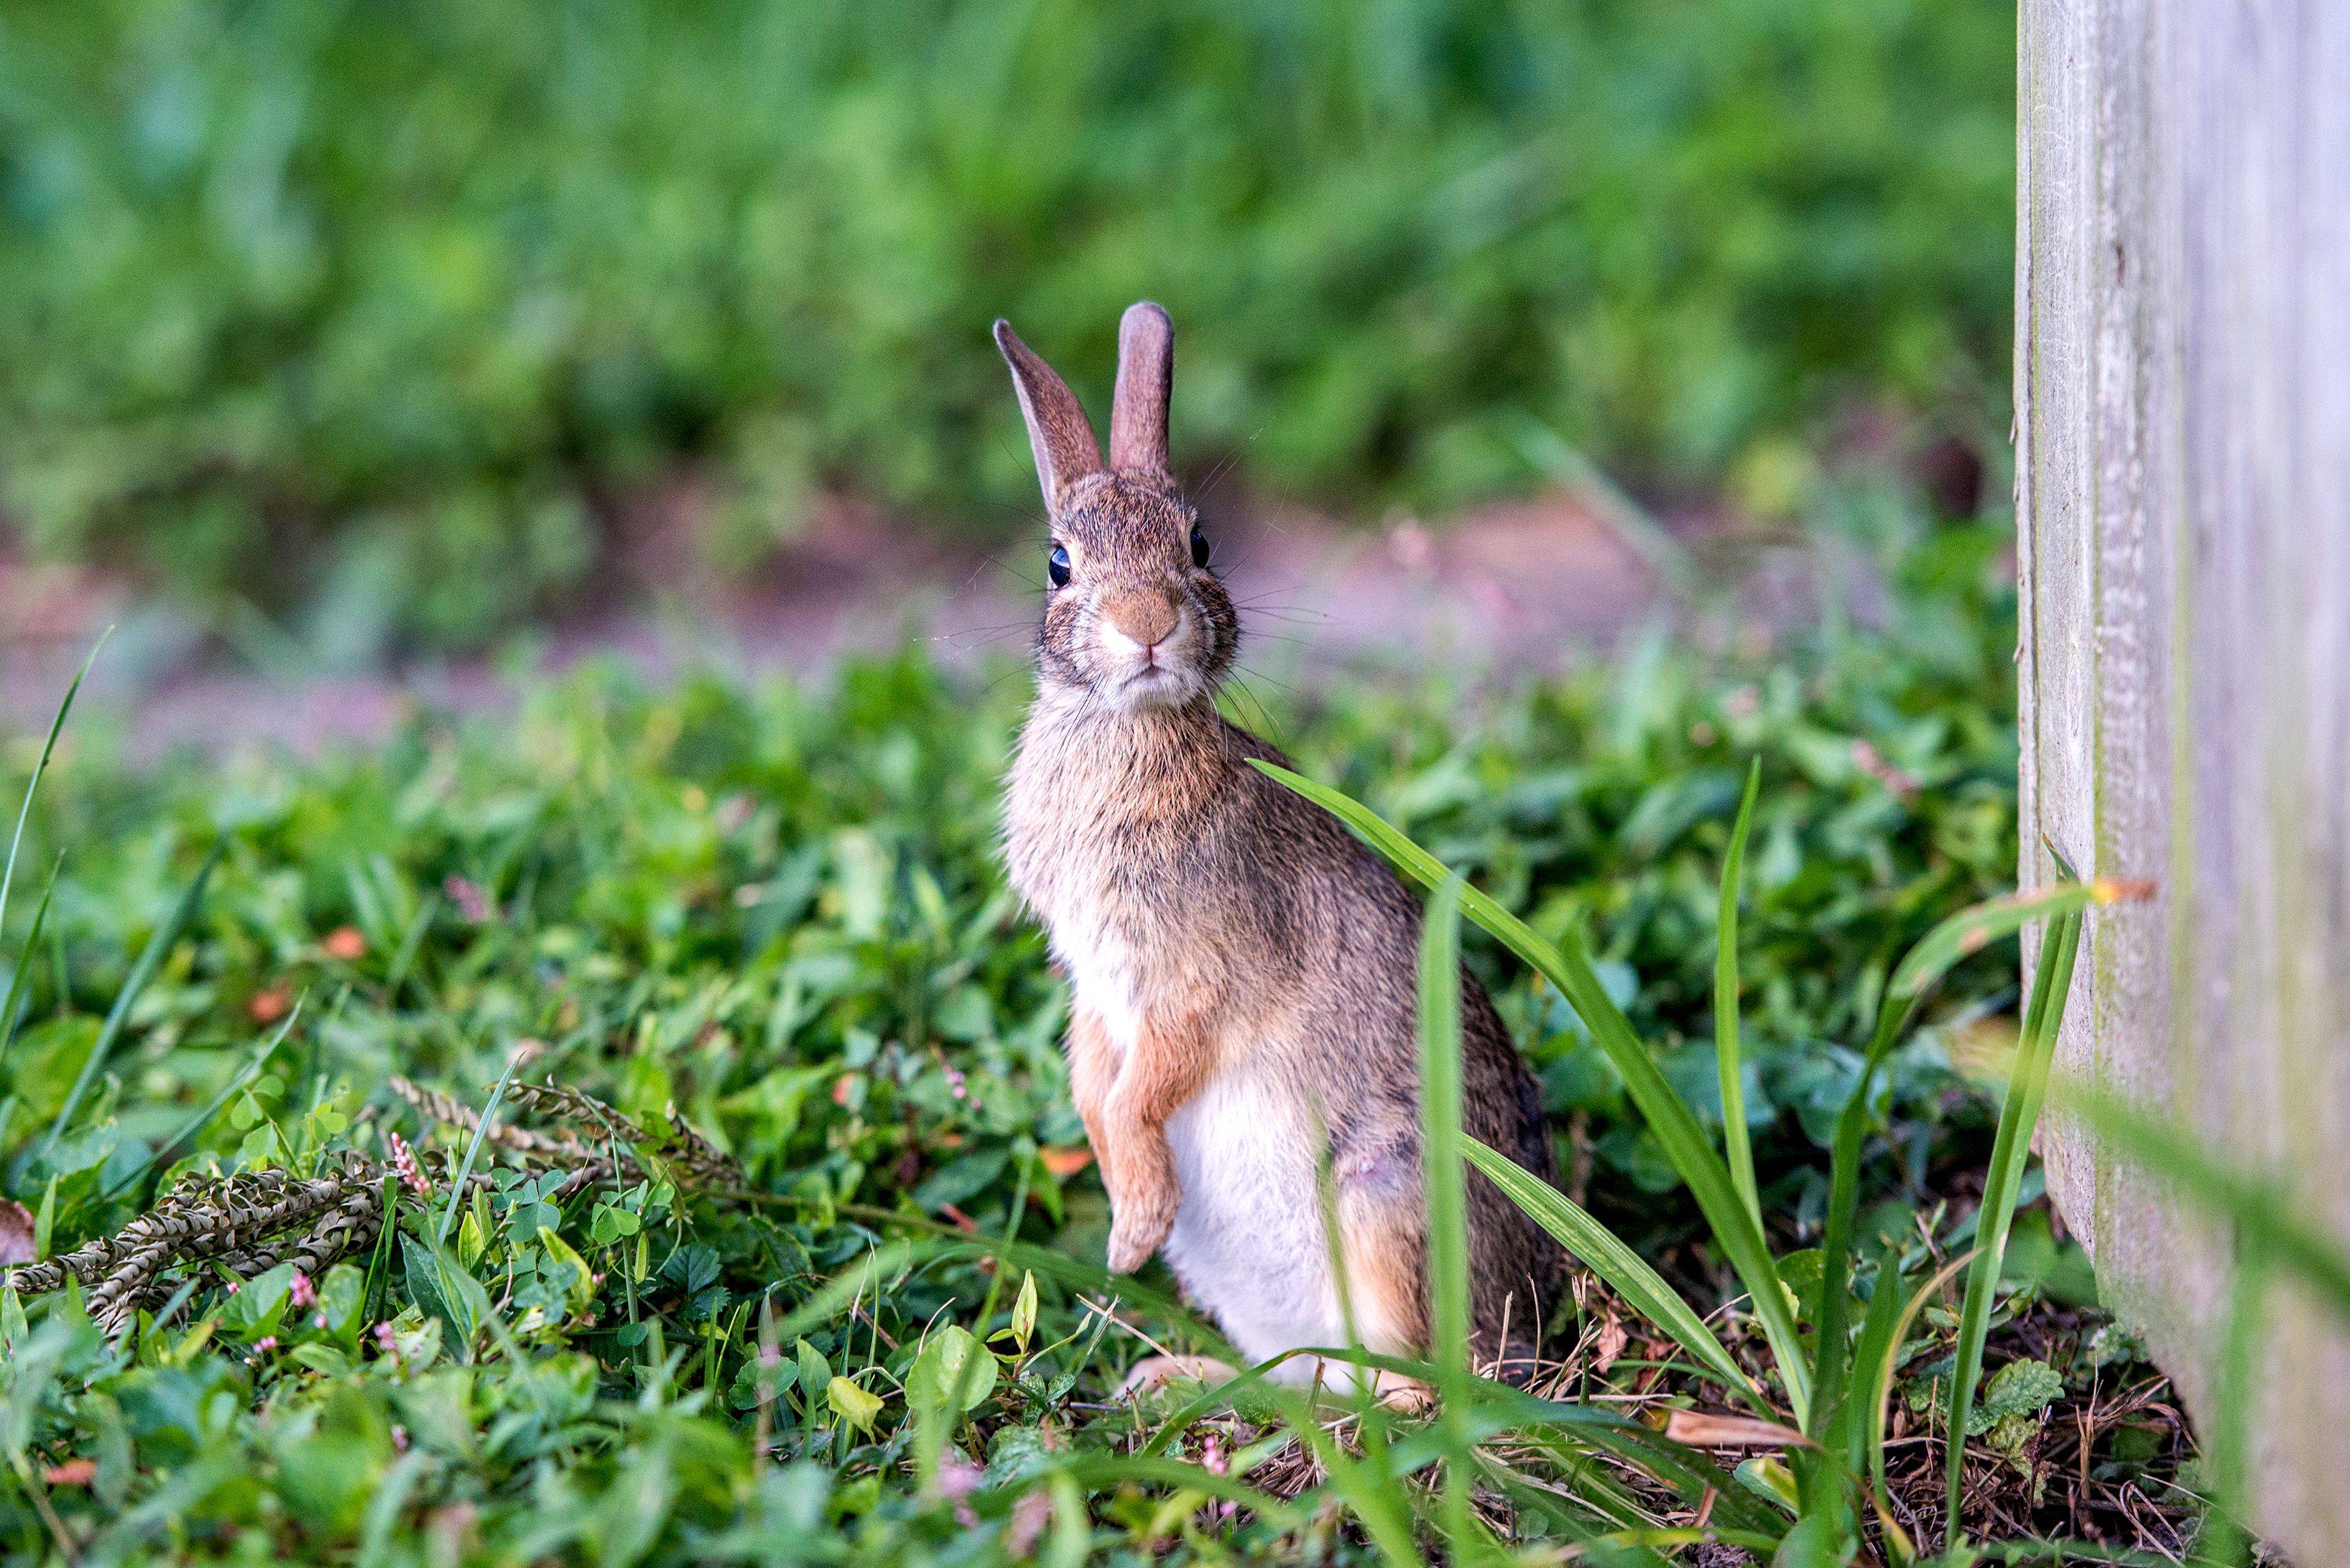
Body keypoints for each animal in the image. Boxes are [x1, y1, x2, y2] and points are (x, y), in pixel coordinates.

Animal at [993, 301, 1567, 1391]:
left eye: (1200, 542)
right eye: (1056, 562)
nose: (1146, 623)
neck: (1128, 731)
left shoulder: (1201, 971)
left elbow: (1147, 1083)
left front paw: (1131, 1227)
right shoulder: (1094, 980)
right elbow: (1092, 1075)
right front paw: (1125, 1214)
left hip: (1382, 1202)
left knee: (1410, 1393)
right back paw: (1180, 1379)